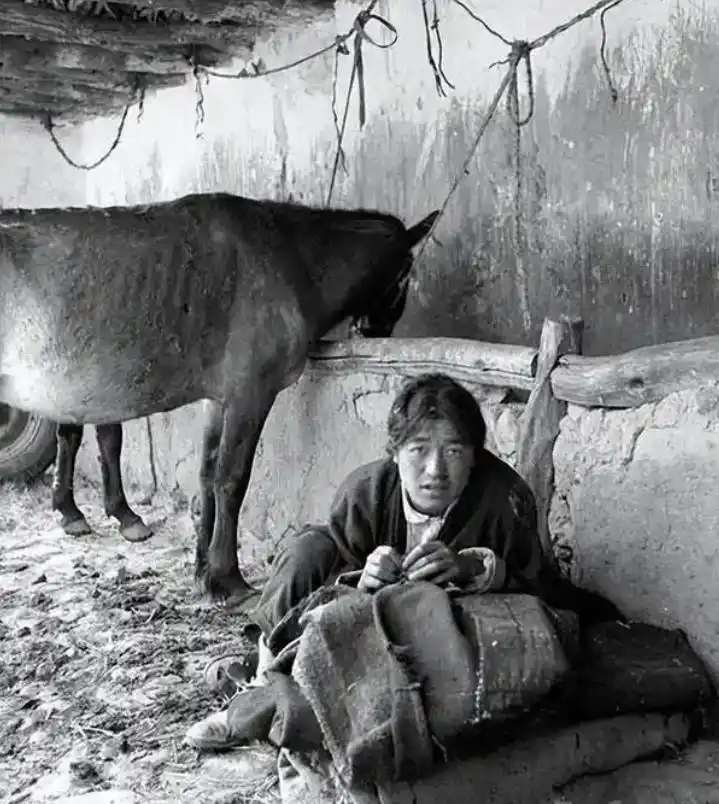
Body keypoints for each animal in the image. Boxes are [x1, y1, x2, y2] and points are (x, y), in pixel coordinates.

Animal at [0, 192, 438, 603]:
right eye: (406, 277)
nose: (375, 331)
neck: (289, 257)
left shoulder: (218, 399)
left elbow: (207, 475)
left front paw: (202, 570)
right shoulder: (251, 394)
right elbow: (232, 479)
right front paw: (228, 577)